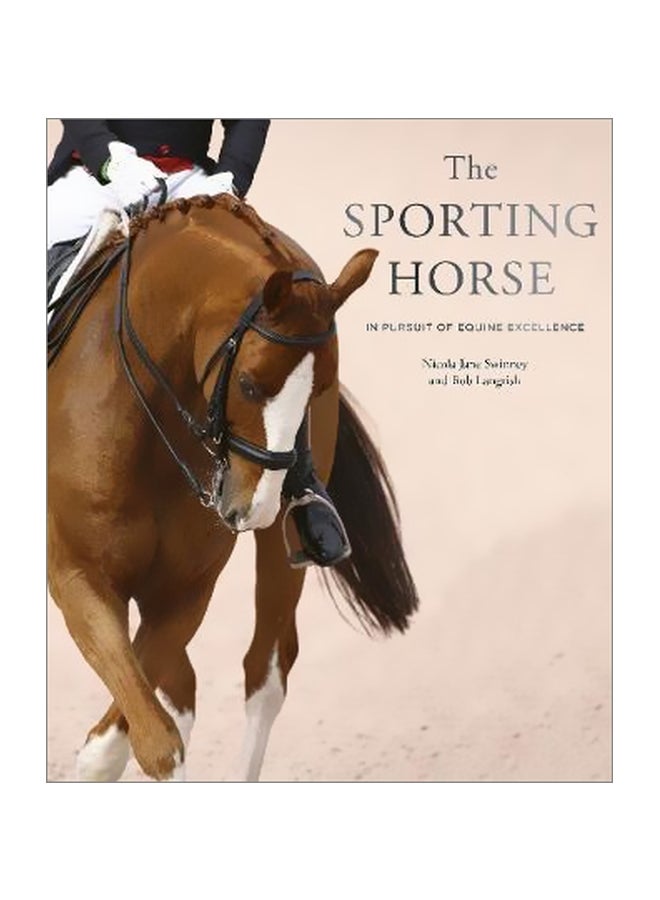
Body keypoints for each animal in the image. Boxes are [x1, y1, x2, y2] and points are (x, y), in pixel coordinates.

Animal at [47, 192, 419, 781]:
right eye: (248, 385)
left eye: (319, 389)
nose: (257, 507)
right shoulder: (77, 577)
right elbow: (148, 734)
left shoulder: (183, 592)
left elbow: (134, 737)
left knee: (264, 671)